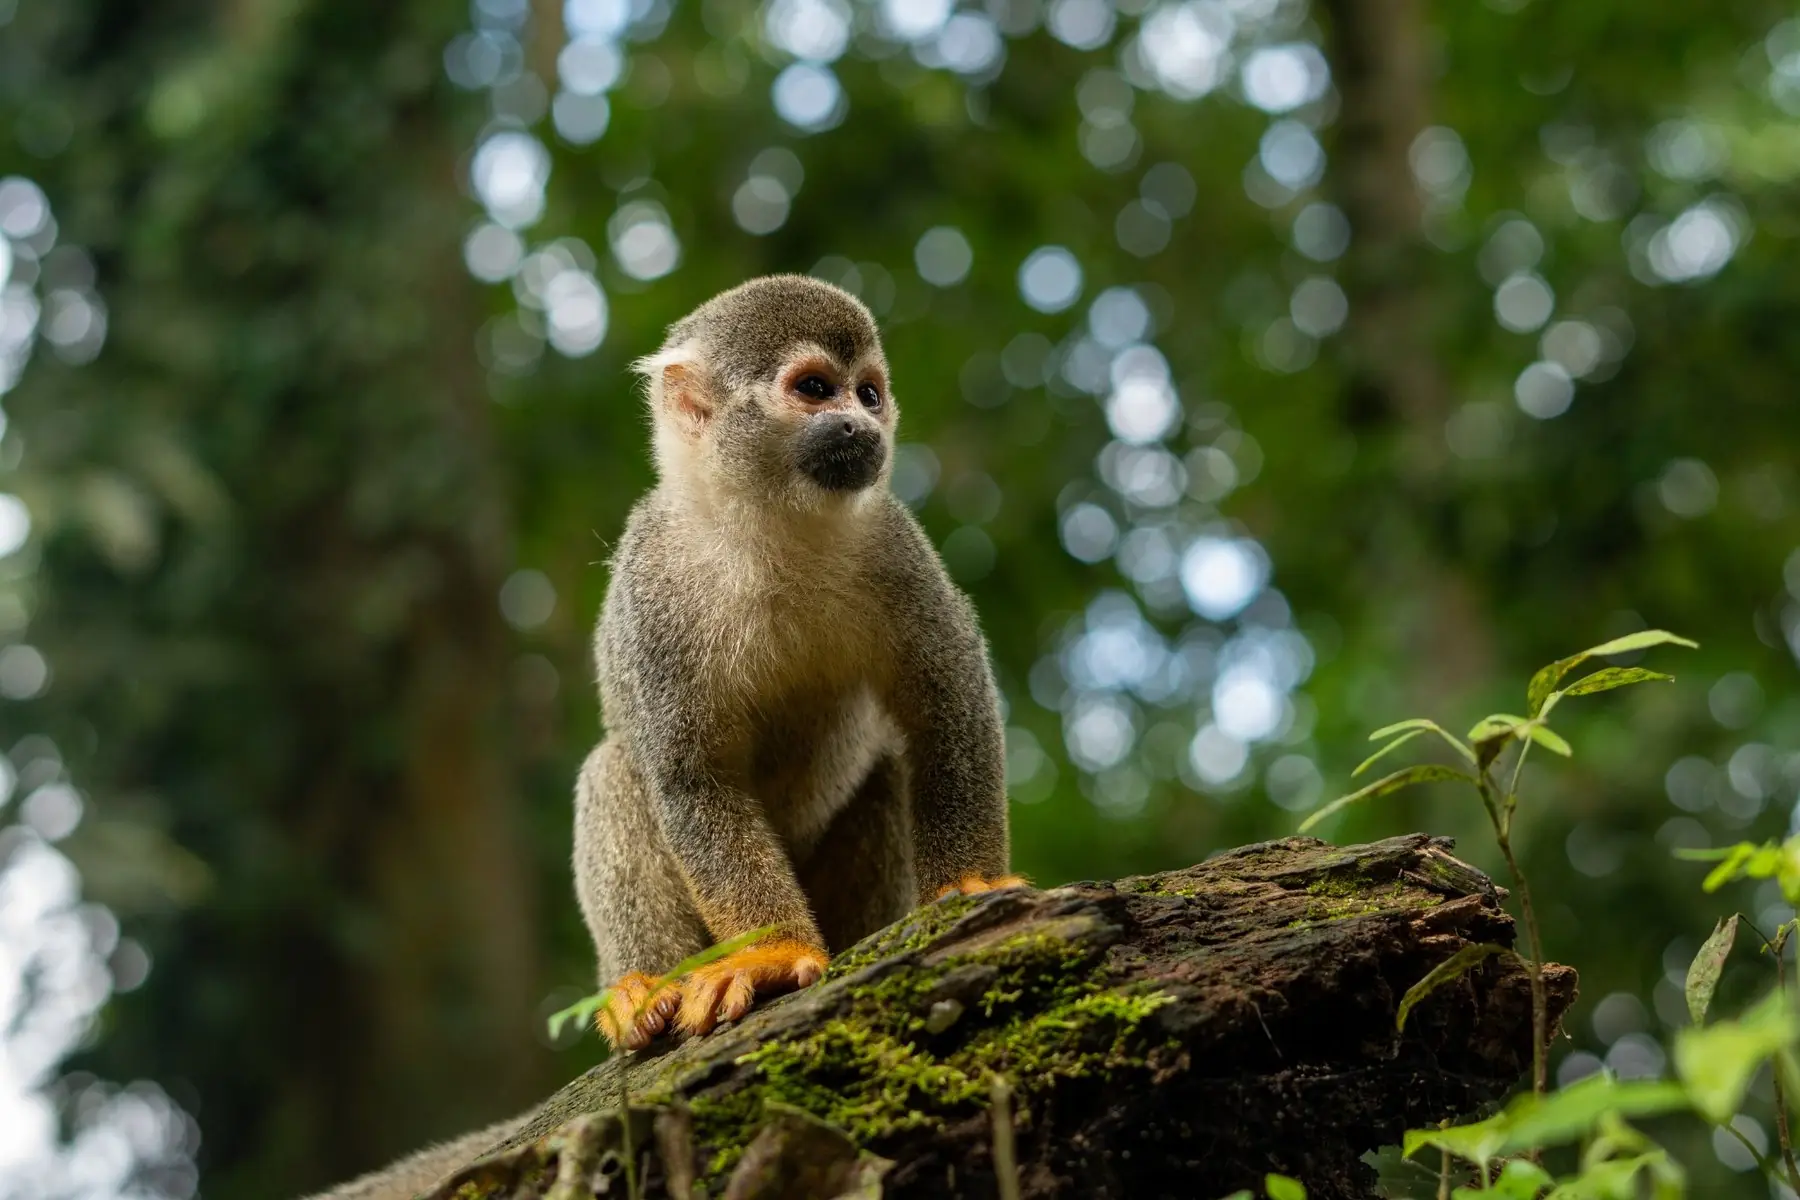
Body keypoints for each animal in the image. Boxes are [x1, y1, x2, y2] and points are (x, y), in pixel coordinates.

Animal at [299, 274, 1019, 1199]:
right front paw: (773, 952)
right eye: (814, 389)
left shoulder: (892, 541)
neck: (768, 526)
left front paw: (970, 887)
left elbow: (948, 702)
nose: (863, 429)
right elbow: (688, 779)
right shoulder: (653, 582)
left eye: (868, 393)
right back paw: (645, 987)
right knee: (615, 769)